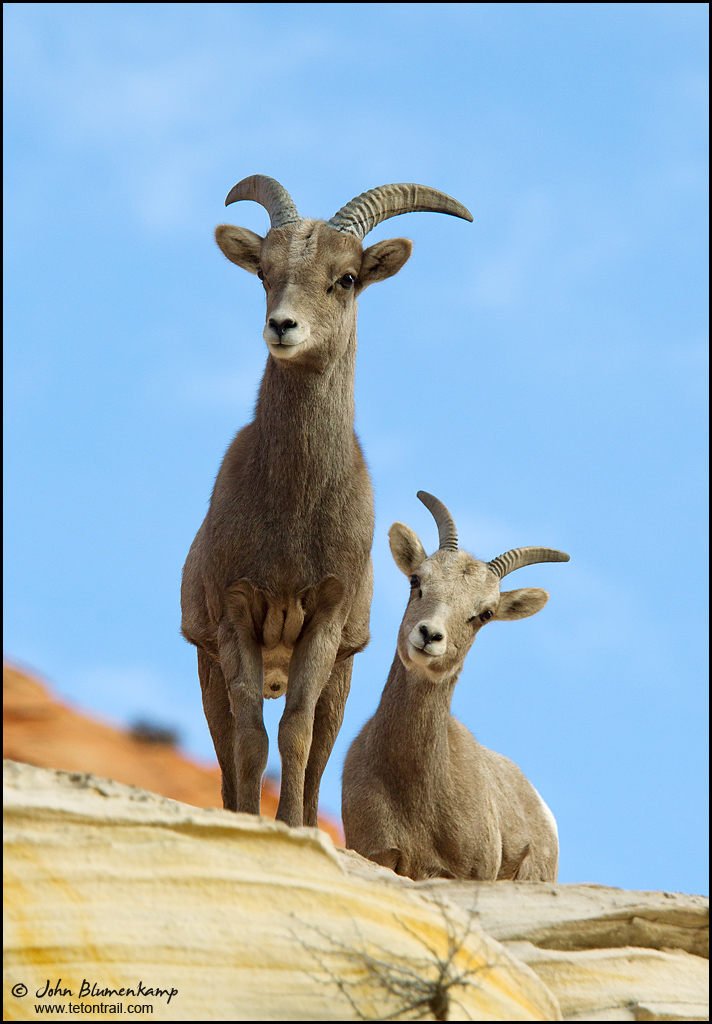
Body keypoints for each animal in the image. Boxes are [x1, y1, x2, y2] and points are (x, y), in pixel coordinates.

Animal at [181, 177, 473, 828]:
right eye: (264, 273)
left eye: (346, 278)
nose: (282, 326)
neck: (293, 511)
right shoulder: (234, 614)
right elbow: (250, 739)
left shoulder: (326, 623)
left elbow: (296, 734)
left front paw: (292, 826)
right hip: (208, 665)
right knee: (226, 746)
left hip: (341, 674)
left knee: (318, 748)